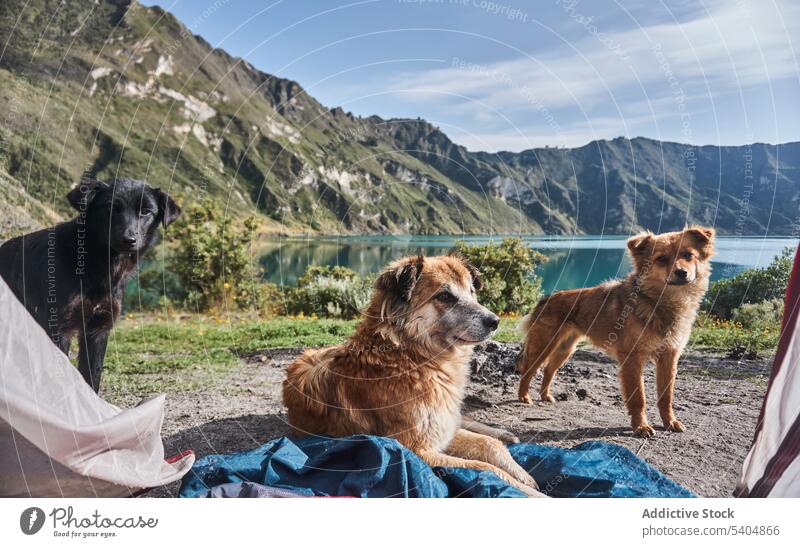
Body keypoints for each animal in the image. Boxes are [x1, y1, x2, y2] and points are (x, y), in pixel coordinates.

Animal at [0, 178, 180, 392]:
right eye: (110, 207)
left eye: (146, 211)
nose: (129, 240)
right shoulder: (60, 328)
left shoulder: (98, 330)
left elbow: (92, 376)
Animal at [282, 255, 544, 498]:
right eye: (445, 297)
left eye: (471, 292)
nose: (495, 321)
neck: (411, 357)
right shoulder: (419, 450)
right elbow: (485, 467)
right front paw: (532, 492)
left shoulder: (440, 428)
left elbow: (488, 444)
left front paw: (521, 473)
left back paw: (505, 434)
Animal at [520, 226, 720, 436]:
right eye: (661, 259)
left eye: (689, 255)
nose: (681, 272)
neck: (662, 303)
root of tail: (546, 298)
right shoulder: (632, 358)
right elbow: (638, 397)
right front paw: (641, 426)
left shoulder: (669, 356)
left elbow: (666, 396)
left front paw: (670, 422)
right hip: (544, 345)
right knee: (528, 371)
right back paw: (523, 397)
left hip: (564, 349)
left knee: (549, 370)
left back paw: (545, 396)